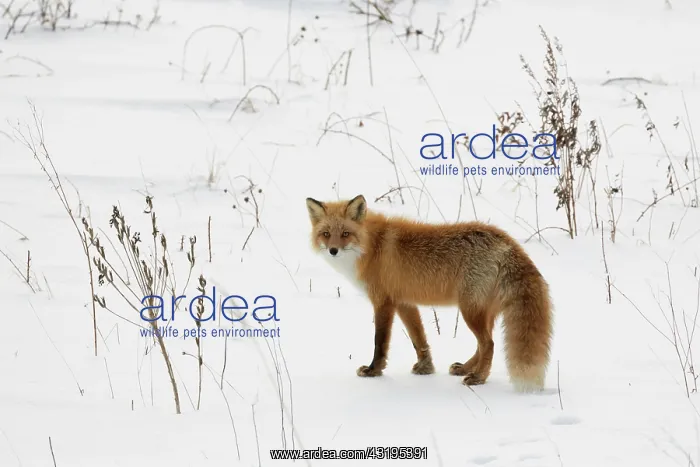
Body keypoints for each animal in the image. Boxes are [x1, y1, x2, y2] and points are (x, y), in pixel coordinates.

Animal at [305, 194, 553, 392]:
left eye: (345, 233)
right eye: (326, 234)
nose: (333, 250)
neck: (371, 246)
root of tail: (506, 240)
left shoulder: (383, 301)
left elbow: (380, 342)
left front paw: (374, 371)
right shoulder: (404, 302)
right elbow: (419, 339)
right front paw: (426, 368)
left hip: (470, 310)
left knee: (489, 345)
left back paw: (478, 378)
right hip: (482, 311)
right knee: (482, 345)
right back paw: (466, 368)